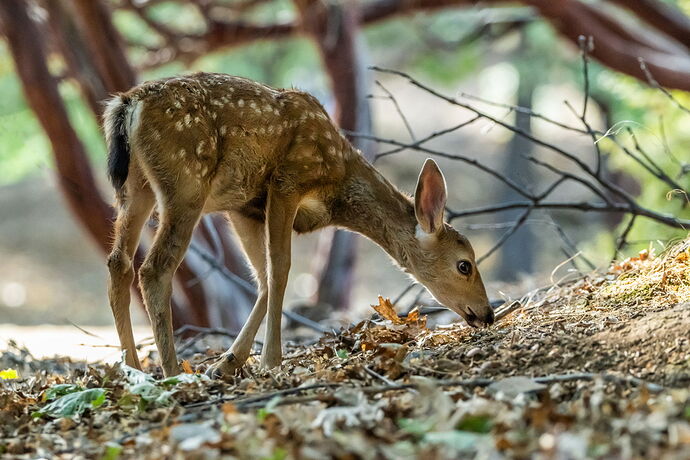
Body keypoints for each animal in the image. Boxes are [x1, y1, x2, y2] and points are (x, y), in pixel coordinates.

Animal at [103, 72, 495, 379]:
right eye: (464, 265)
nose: (487, 314)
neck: (339, 185)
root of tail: (129, 104)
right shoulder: (287, 181)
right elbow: (280, 269)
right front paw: (270, 361)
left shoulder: (243, 206)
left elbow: (262, 277)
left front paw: (228, 363)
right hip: (186, 182)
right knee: (154, 269)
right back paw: (172, 372)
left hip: (135, 187)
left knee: (118, 262)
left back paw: (132, 369)